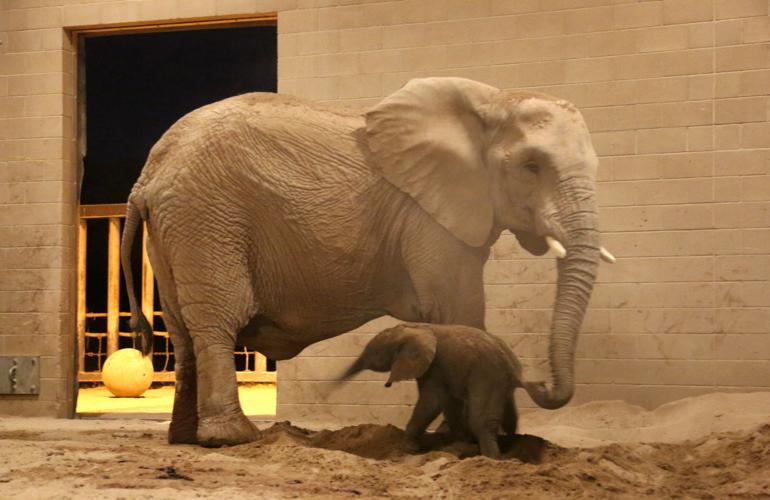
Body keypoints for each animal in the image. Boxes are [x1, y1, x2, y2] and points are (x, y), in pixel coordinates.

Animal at [340, 322, 524, 459]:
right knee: (510, 417)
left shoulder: (434, 366)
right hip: (500, 383)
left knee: (481, 422)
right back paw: (510, 450)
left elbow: (433, 401)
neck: (414, 327)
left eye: (373, 353)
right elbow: (449, 402)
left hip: (488, 378)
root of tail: (514, 371)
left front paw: (411, 449)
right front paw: (460, 443)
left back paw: (491, 458)